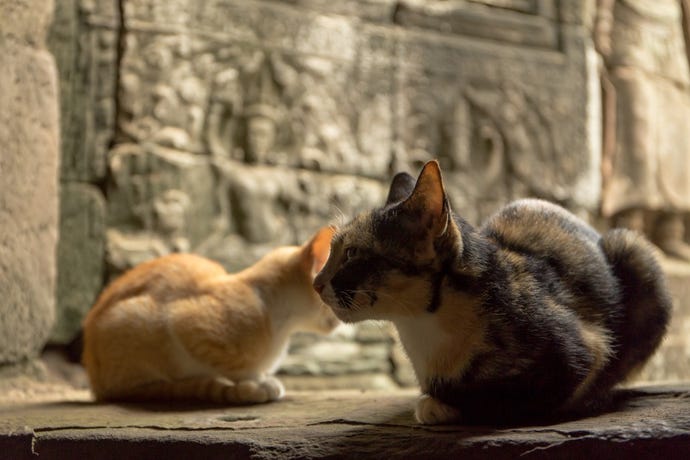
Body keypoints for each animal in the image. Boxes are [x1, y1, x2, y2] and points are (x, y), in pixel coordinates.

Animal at [82, 226, 340, 402]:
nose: (338, 323)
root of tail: (95, 382)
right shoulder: (183, 321)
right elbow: (240, 369)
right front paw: (257, 382)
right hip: (134, 319)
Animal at [314, 161, 668, 424]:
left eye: (352, 253)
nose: (316, 283)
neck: (422, 325)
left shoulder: (584, 351)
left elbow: (513, 399)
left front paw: (440, 404)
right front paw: (433, 399)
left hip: (633, 249)